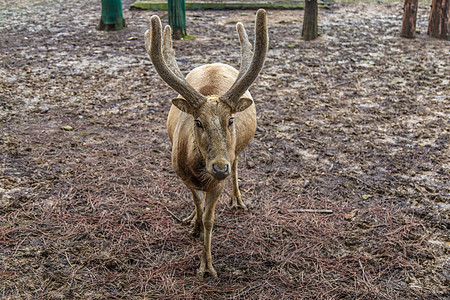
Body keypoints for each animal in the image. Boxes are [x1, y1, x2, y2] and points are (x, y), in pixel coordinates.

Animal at [144, 9, 268, 282]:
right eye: (198, 122)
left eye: (230, 120)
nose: (218, 168)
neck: (198, 171)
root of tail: (214, 62)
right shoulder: (182, 175)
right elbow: (196, 202)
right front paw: (195, 226)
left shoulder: (217, 183)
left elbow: (211, 218)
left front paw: (207, 267)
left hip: (236, 154)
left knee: (237, 164)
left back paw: (237, 200)